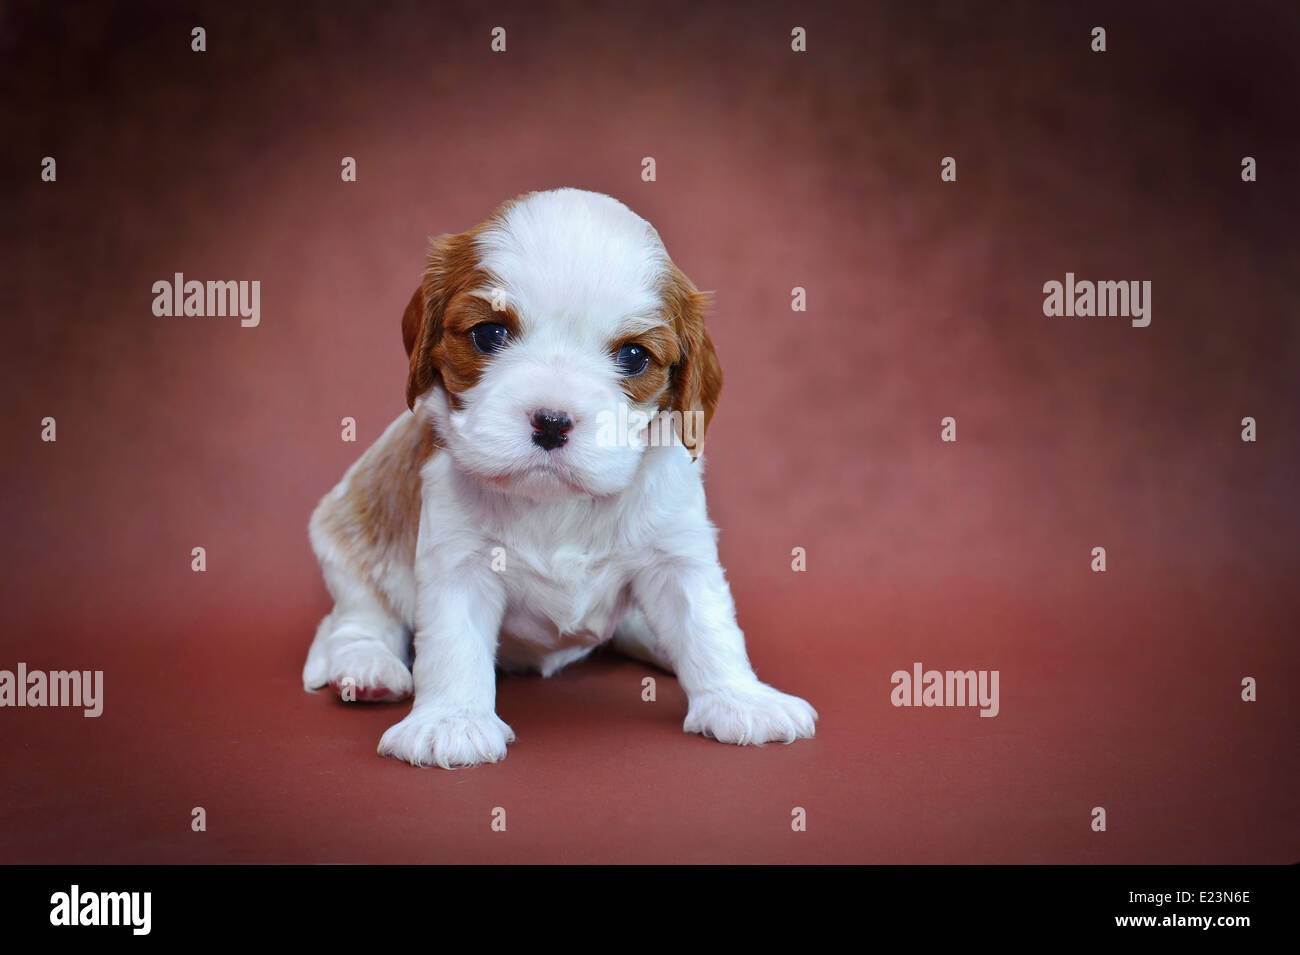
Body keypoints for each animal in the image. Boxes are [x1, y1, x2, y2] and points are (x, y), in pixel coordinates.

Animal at [300, 188, 816, 769]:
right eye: (488, 334)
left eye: (634, 355)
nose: (551, 421)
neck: (557, 501)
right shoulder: (458, 558)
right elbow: (452, 642)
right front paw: (451, 721)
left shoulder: (676, 551)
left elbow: (707, 624)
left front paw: (740, 698)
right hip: (350, 527)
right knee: (358, 616)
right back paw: (365, 667)